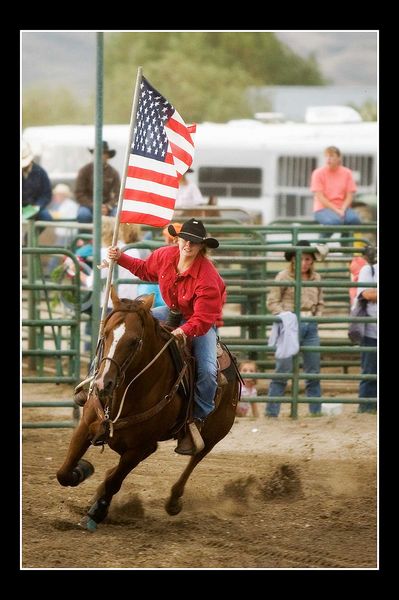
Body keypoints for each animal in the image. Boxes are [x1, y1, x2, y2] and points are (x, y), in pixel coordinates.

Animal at [56, 288, 242, 532]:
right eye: (105, 333)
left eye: (134, 341)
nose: (103, 384)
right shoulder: (86, 427)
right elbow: (64, 472)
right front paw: (83, 470)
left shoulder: (142, 448)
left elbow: (114, 481)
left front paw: (96, 513)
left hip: (215, 433)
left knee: (196, 458)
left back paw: (173, 501)